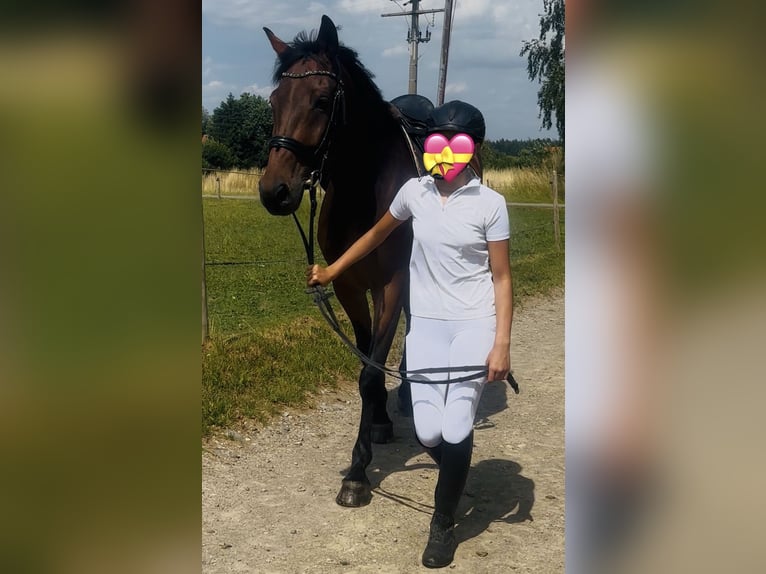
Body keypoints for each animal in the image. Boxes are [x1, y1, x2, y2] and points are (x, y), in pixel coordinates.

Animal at [258, 15, 417, 508]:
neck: (365, 190)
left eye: (322, 100)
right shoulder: (349, 285)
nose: (274, 191)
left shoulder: (391, 284)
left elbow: (369, 372)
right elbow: (366, 362)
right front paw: (377, 426)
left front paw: (358, 473)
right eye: (274, 101)